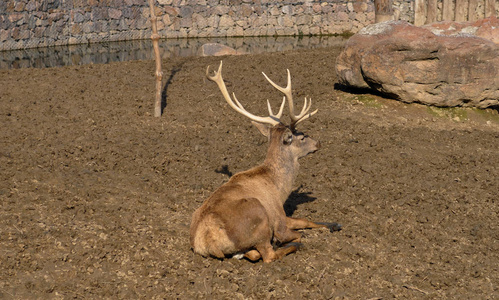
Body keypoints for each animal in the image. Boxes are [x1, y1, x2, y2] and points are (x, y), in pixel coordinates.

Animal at [189, 61, 342, 262]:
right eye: (301, 136)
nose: (318, 143)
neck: (279, 188)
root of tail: (207, 242)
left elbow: (306, 220)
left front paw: (334, 224)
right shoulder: (278, 216)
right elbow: (298, 228)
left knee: (252, 253)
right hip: (258, 215)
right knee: (268, 254)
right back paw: (290, 245)